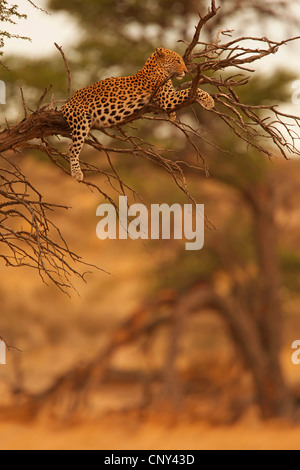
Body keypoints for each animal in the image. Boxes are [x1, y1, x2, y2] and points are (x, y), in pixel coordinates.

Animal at [61, 47, 213, 180]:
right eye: (177, 61)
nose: (186, 71)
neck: (157, 67)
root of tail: (68, 102)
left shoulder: (169, 96)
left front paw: (172, 115)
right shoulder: (167, 98)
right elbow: (190, 90)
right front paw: (209, 100)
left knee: (70, 145)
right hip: (81, 121)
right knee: (73, 149)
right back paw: (77, 173)